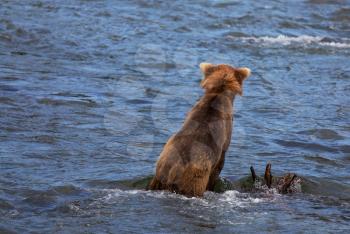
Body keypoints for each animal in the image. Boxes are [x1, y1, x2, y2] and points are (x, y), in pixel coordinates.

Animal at [148, 63, 252, 197]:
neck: (220, 92)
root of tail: (174, 169)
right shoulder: (225, 133)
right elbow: (219, 164)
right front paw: (213, 186)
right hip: (195, 175)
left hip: (160, 168)